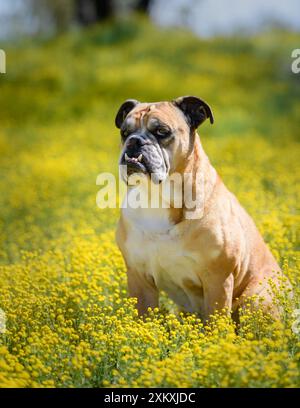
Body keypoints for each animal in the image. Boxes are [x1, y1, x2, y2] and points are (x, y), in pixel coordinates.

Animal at [114, 96, 282, 322]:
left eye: (162, 131)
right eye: (124, 132)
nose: (134, 141)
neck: (157, 196)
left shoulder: (218, 279)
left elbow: (216, 321)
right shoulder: (139, 278)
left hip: (257, 299)